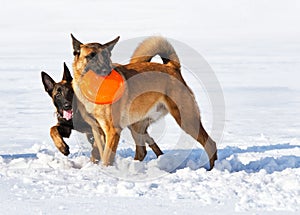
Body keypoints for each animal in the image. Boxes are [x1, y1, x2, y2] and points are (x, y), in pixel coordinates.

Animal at [72, 34, 218, 170]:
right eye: (91, 56)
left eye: (107, 57)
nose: (106, 71)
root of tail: (172, 67)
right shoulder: (97, 129)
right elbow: (99, 153)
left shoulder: (113, 130)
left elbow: (107, 157)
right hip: (136, 124)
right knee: (141, 151)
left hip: (186, 119)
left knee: (210, 144)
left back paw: (212, 169)